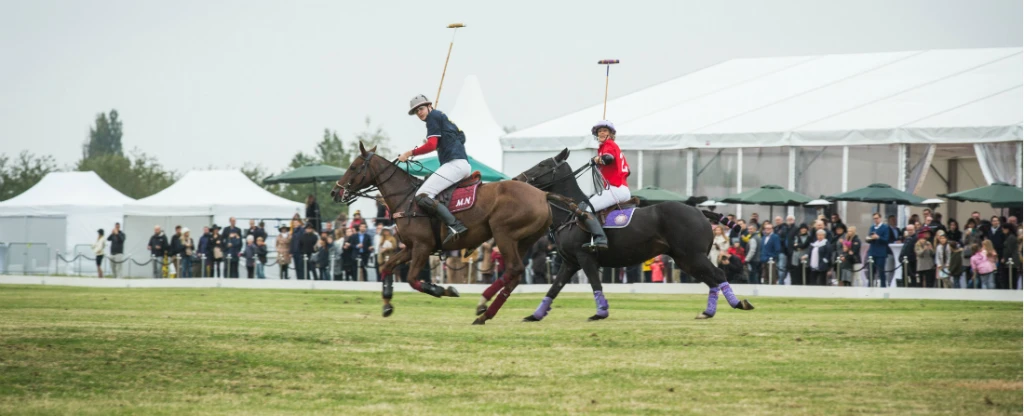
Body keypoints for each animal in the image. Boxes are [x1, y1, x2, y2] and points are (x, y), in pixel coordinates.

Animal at [333, 143, 552, 325]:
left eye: (353, 167)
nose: (335, 192)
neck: (407, 199)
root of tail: (543, 195)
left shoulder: (422, 246)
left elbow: (412, 279)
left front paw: (443, 289)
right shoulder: (411, 247)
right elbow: (387, 267)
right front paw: (387, 304)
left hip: (503, 234)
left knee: (514, 269)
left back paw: (482, 303)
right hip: (522, 241)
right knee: (514, 274)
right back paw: (484, 315)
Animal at [475, 149, 757, 321]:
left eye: (543, 164)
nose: (515, 179)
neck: (569, 214)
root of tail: (700, 212)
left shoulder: (585, 258)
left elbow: (595, 283)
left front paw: (600, 312)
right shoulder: (569, 262)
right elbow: (554, 288)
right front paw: (535, 315)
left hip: (692, 256)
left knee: (718, 275)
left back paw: (738, 304)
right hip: (685, 259)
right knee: (711, 280)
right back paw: (708, 312)